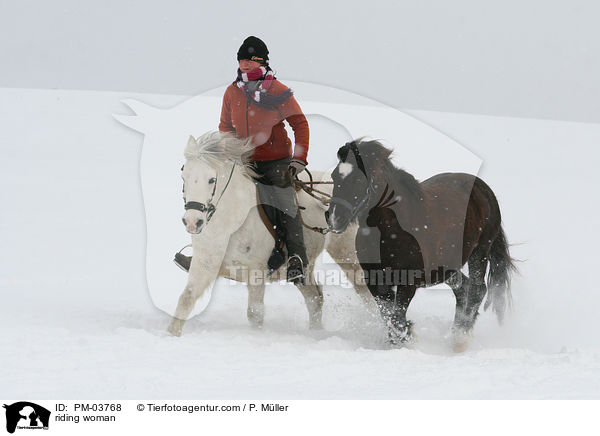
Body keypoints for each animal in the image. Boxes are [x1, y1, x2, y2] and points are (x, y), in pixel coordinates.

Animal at [169, 131, 372, 336]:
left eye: (211, 180)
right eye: (184, 177)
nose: (192, 222)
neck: (232, 224)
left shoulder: (256, 272)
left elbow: (255, 314)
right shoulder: (204, 266)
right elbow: (186, 299)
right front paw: (172, 334)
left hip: (348, 254)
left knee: (364, 291)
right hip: (307, 268)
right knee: (315, 298)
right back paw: (315, 333)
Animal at [324, 140, 516, 348]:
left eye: (359, 180)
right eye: (334, 176)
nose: (334, 218)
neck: (390, 231)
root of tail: (483, 189)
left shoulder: (408, 281)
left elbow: (397, 317)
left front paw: (406, 340)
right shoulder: (375, 279)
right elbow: (388, 315)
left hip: (480, 252)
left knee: (477, 289)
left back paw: (460, 337)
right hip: (445, 268)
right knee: (463, 288)